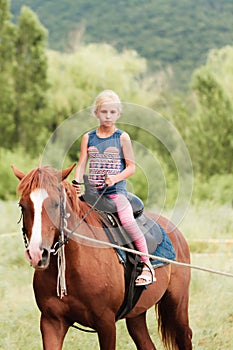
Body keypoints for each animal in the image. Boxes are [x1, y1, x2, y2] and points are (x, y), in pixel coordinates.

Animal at [11, 165, 192, 350]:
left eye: (55, 204)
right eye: (22, 206)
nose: (37, 254)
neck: (74, 268)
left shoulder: (106, 323)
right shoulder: (51, 322)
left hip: (177, 306)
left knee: (185, 335)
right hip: (136, 316)